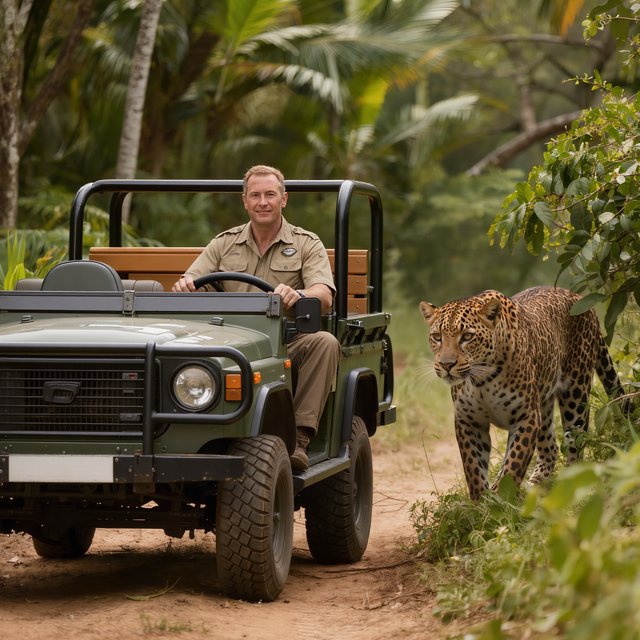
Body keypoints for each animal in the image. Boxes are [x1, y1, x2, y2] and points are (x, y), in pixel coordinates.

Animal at [419, 286, 628, 501]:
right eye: (437, 337)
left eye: (467, 337)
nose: (446, 364)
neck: (482, 379)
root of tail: (577, 295)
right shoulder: (469, 421)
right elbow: (474, 469)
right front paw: (480, 503)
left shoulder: (526, 416)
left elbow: (513, 463)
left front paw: (499, 500)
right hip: (544, 405)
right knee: (550, 447)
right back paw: (535, 485)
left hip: (575, 395)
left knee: (575, 445)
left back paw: (571, 485)